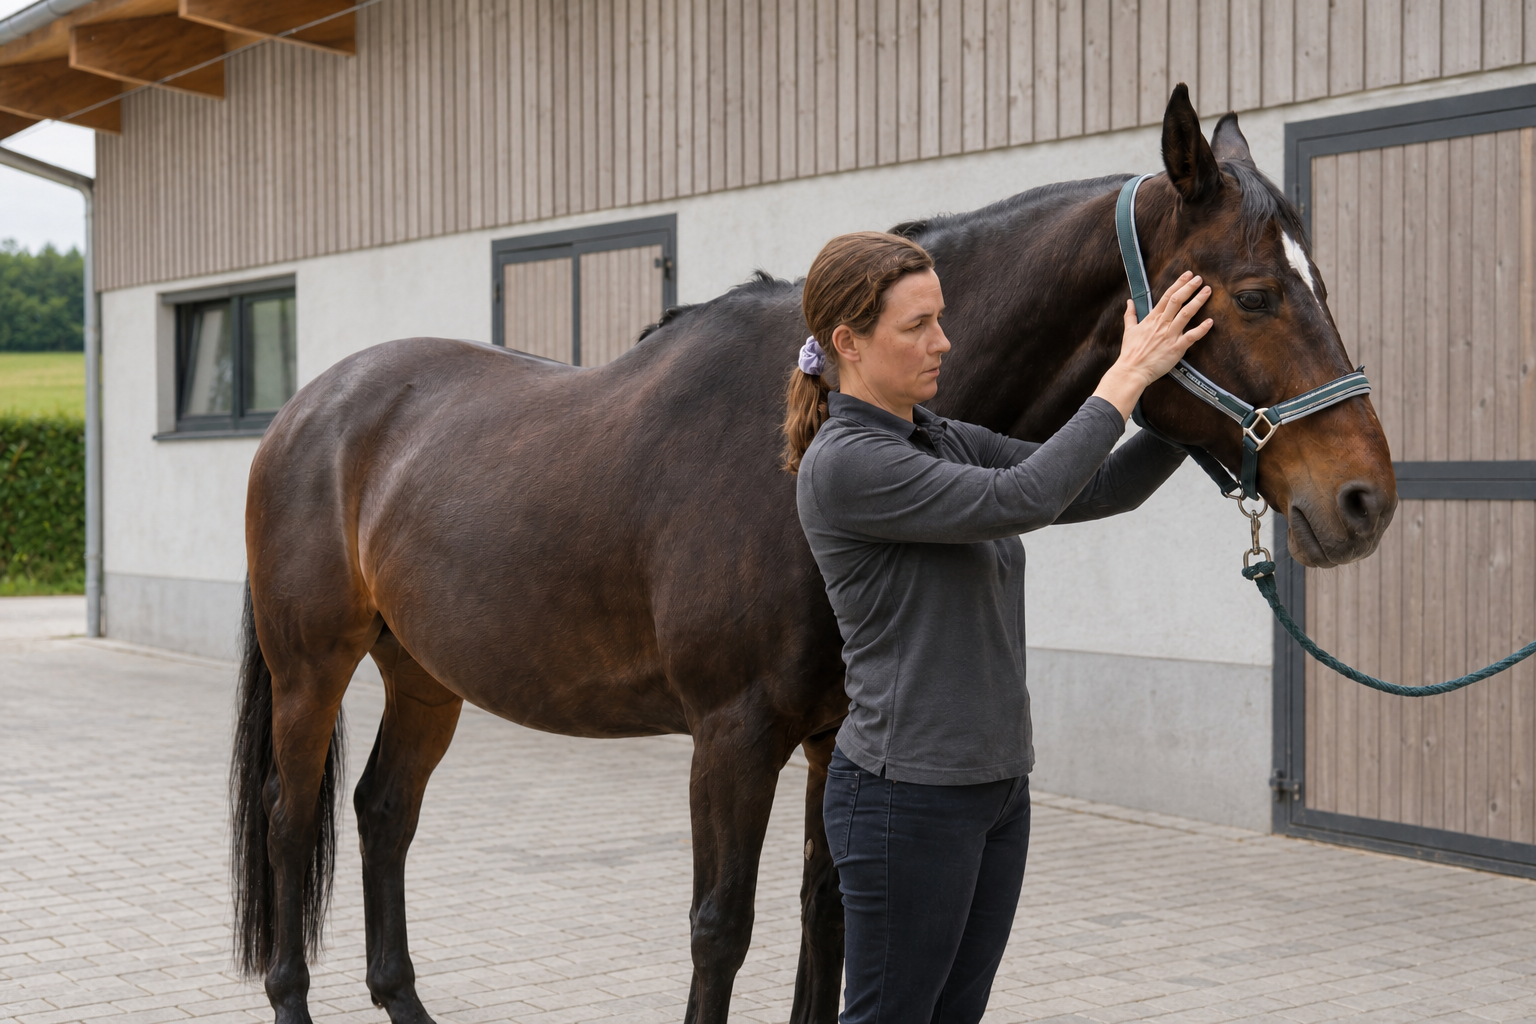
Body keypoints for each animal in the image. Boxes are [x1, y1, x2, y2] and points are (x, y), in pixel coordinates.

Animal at [231, 84, 1396, 1024]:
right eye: (1255, 295)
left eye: (1325, 284)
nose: (1364, 500)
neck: (794, 449)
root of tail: (310, 408)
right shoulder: (731, 737)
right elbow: (721, 929)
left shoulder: (838, 738)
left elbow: (829, 919)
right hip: (313, 669)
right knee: (291, 823)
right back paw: (289, 995)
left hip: (425, 673)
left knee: (382, 813)